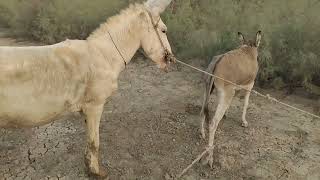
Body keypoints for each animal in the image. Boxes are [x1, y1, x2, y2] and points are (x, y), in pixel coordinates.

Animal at [0, 0, 174, 177]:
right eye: (164, 30)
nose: (171, 60)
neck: (104, 55)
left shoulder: (87, 110)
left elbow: (88, 142)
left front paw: (89, 166)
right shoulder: (95, 106)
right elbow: (94, 142)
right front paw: (96, 172)